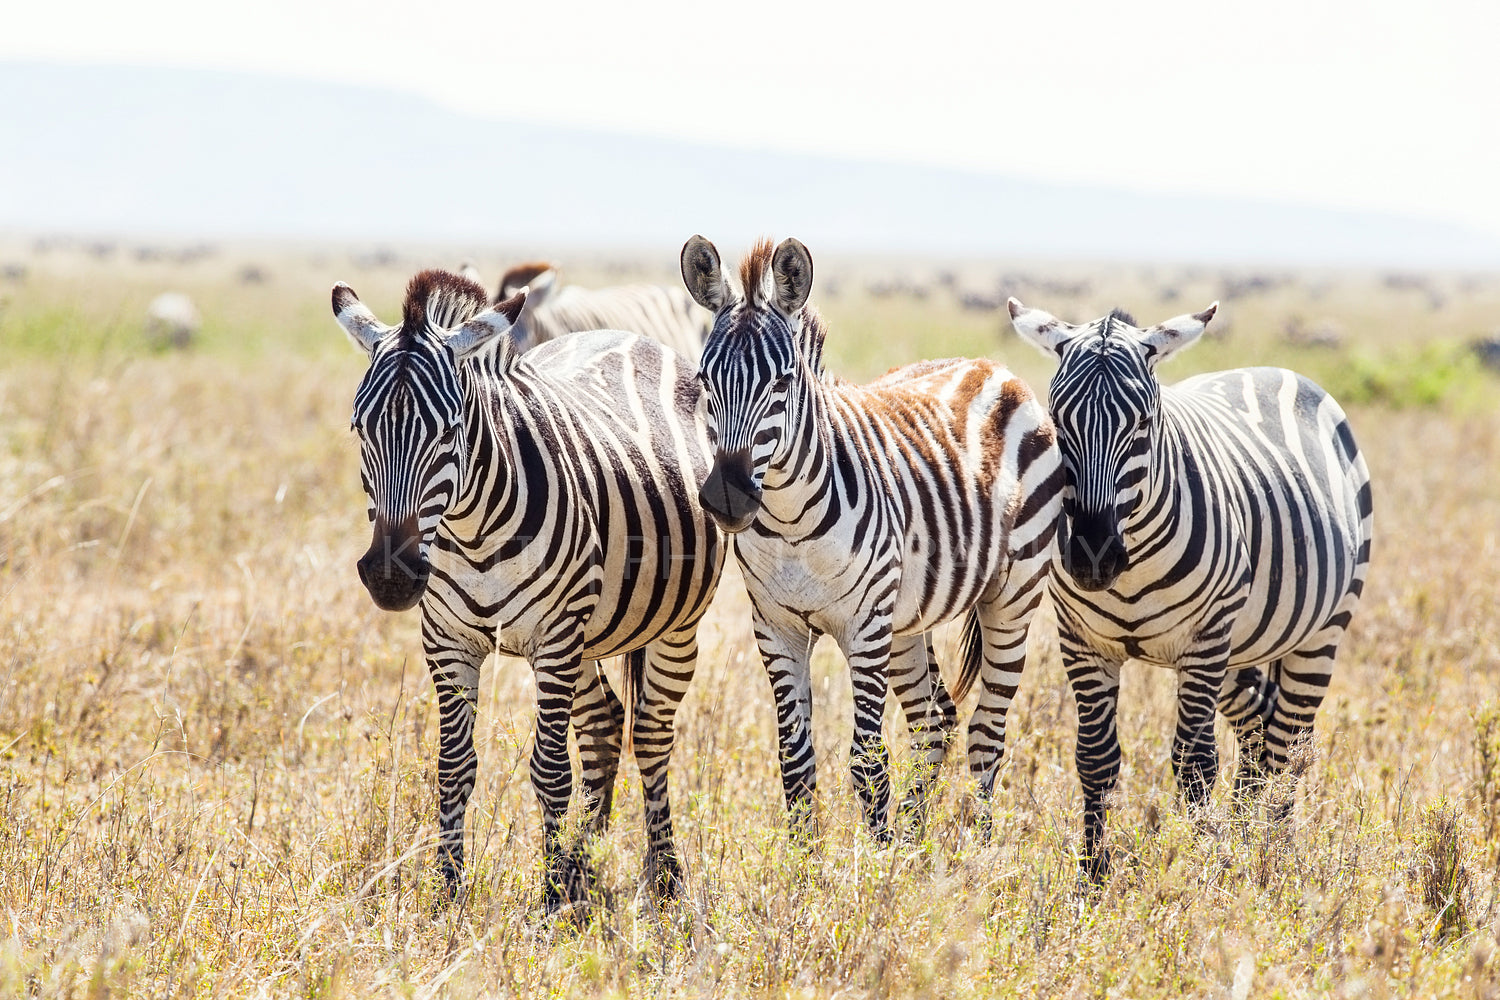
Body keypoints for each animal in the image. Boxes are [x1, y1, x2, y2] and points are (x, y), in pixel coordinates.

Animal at [330, 269, 726, 911]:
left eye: (450, 432)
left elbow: (550, 771)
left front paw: (551, 902)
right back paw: (585, 868)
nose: (390, 577)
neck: (472, 533)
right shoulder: (448, 643)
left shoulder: (555, 637)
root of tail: (626, 336)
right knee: (605, 725)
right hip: (587, 638)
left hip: (668, 628)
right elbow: (453, 767)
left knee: (650, 734)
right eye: (360, 430)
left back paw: (663, 881)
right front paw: (448, 894)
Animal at [687, 236, 1062, 839]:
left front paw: (875, 859)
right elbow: (795, 761)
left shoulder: (864, 629)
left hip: (1011, 597)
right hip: (908, 618)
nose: (726, 498)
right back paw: (915, 839)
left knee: (987, 732)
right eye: (704, 381)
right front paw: (809, 857)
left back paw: (974, 847)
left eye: (783, 382)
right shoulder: (776, 627)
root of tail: (990, 365)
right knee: (936, 718)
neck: (791, 526)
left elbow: (866, 760)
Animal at [1002, 299, 1374, 881]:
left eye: (1143, 424)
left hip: (1319, 630)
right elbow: (1095, 758)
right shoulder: (1082, 640)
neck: (1130, 571)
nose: (1092, 557)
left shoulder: (1206, 639)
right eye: (1058, 422)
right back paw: (1246, 833)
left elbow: (1195, 764)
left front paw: (1202, 873)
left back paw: (1271, 849)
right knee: (1259, 730)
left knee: (1288, 744)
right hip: (1240, 647)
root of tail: (1275, 369)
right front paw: (1093, 875)